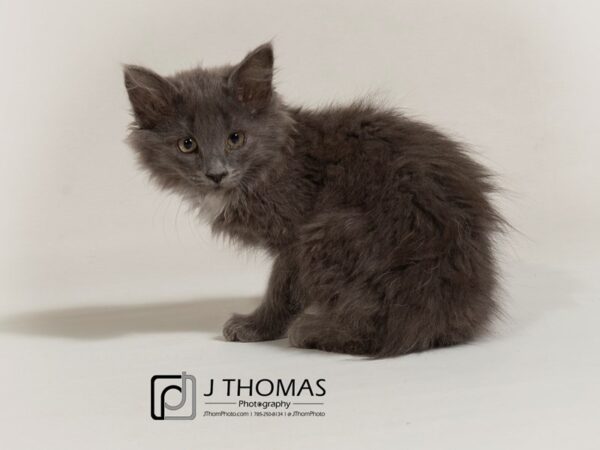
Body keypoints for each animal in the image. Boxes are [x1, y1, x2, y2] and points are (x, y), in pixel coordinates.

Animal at [124, 44, 504, 356]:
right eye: (187, 145)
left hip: (329, 232)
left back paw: (313, 330)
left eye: (236, 138)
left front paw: (256, 327)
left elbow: (281, 288)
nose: (216, 173)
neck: (274, 164)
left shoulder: (295, 236)